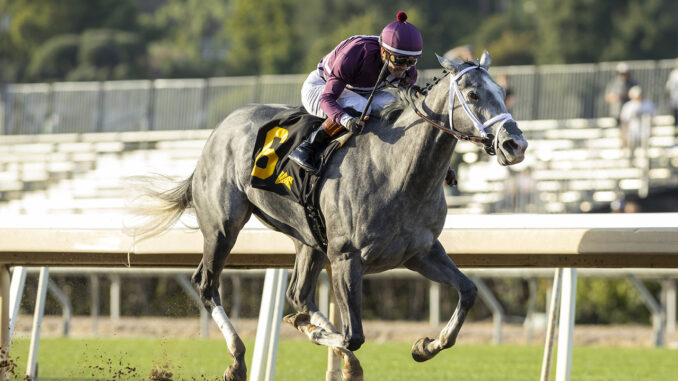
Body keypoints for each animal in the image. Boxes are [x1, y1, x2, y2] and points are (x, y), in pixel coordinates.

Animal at [130, 51, 528, 380]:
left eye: (501, 91)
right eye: (473, 95)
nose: (516, 145)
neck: (399, 171)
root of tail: (218, 131)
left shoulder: (421, 253)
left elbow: (468, 291)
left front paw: (425, 346)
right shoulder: (347, 257)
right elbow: (352, 335)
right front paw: (313, 330)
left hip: (308, 239)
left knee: (298, 293)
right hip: (223, 225)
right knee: (207, 283)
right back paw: (238, 360)